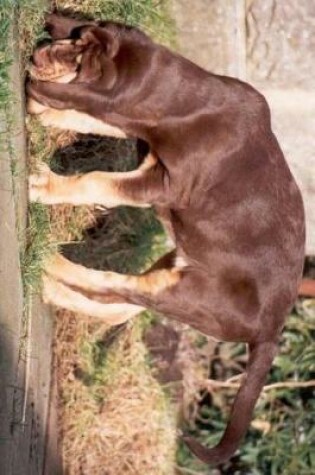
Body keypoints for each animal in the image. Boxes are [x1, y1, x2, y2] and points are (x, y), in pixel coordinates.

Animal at [27, 14, 306, 468]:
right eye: (77, 39)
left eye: (81, 55)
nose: (37, 53)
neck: (193, 103)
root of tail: (272, 330)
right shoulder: (143, 149)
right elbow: (90, 119)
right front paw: (45, 113)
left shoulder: (162, 184)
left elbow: (95, 179)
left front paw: (45, 182)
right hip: (177, 272)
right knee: (115, 306)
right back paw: (53, 285)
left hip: (188, 293)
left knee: (115, 288)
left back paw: (51, 266)